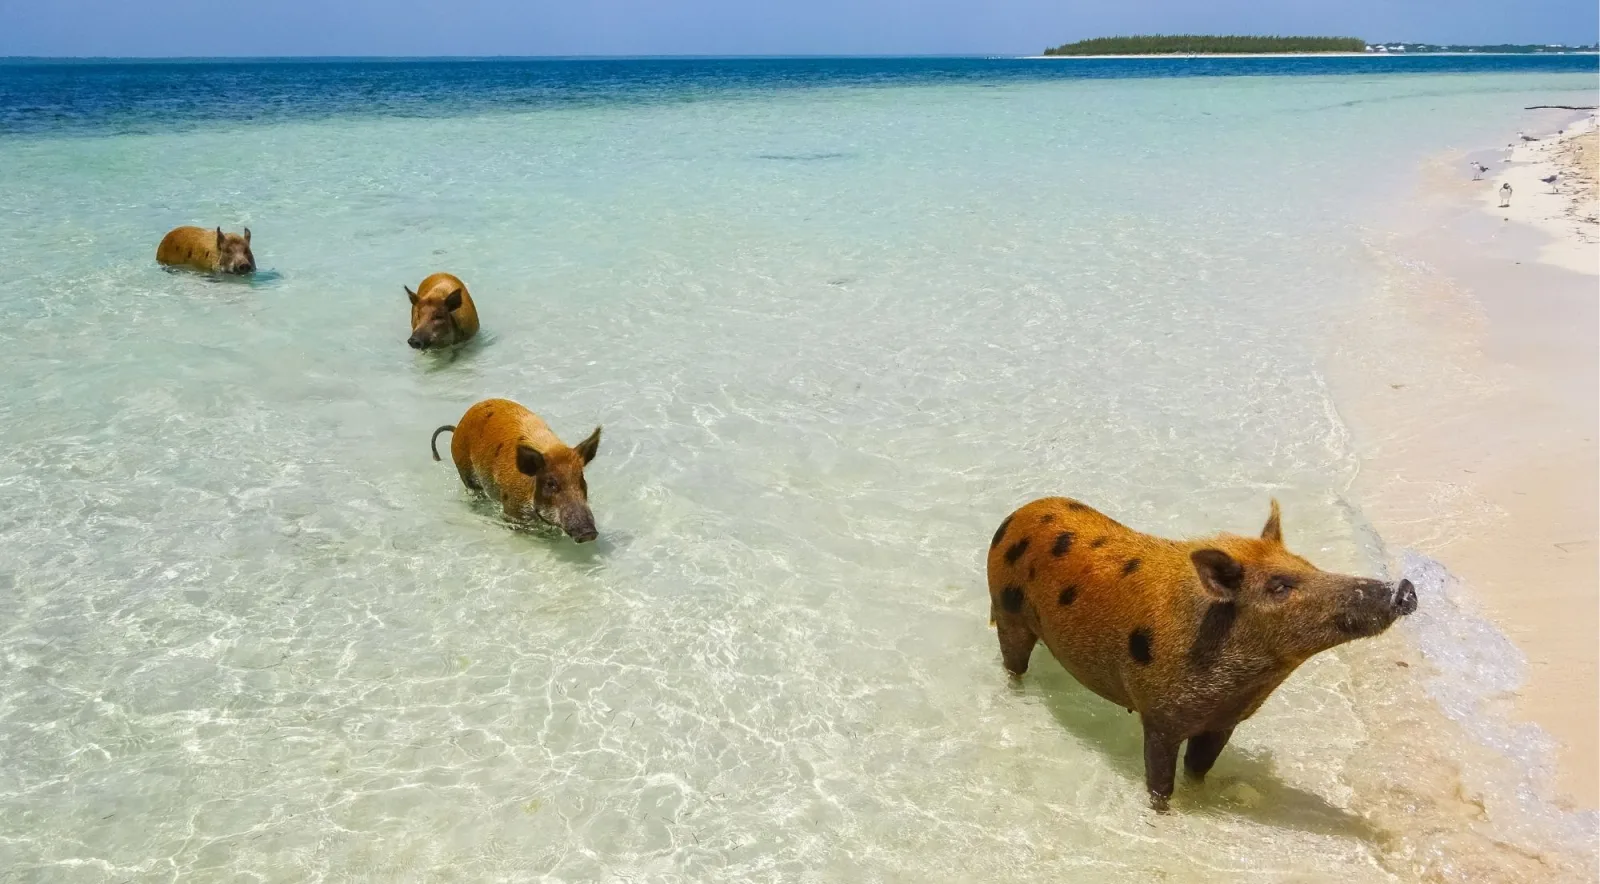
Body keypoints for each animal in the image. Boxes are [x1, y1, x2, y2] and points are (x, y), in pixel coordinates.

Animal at [430, 398, 601, 542]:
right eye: (550, 483)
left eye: (581, 478)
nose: (588, 532)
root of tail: (457, 428)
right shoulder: (512, 512)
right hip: (465, 472)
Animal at [986, 497, 1416, 811]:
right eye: (1279, 586)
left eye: (1310, 565)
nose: (1404, 588)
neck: (1244, 682)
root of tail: (1018, 513)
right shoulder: (1160, 716)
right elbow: (1160, 782)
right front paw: (1161, 813)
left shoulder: (1224, 722)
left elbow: (1198, 769)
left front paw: (1207, 794)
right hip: (1007, 610)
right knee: (1012, 661)